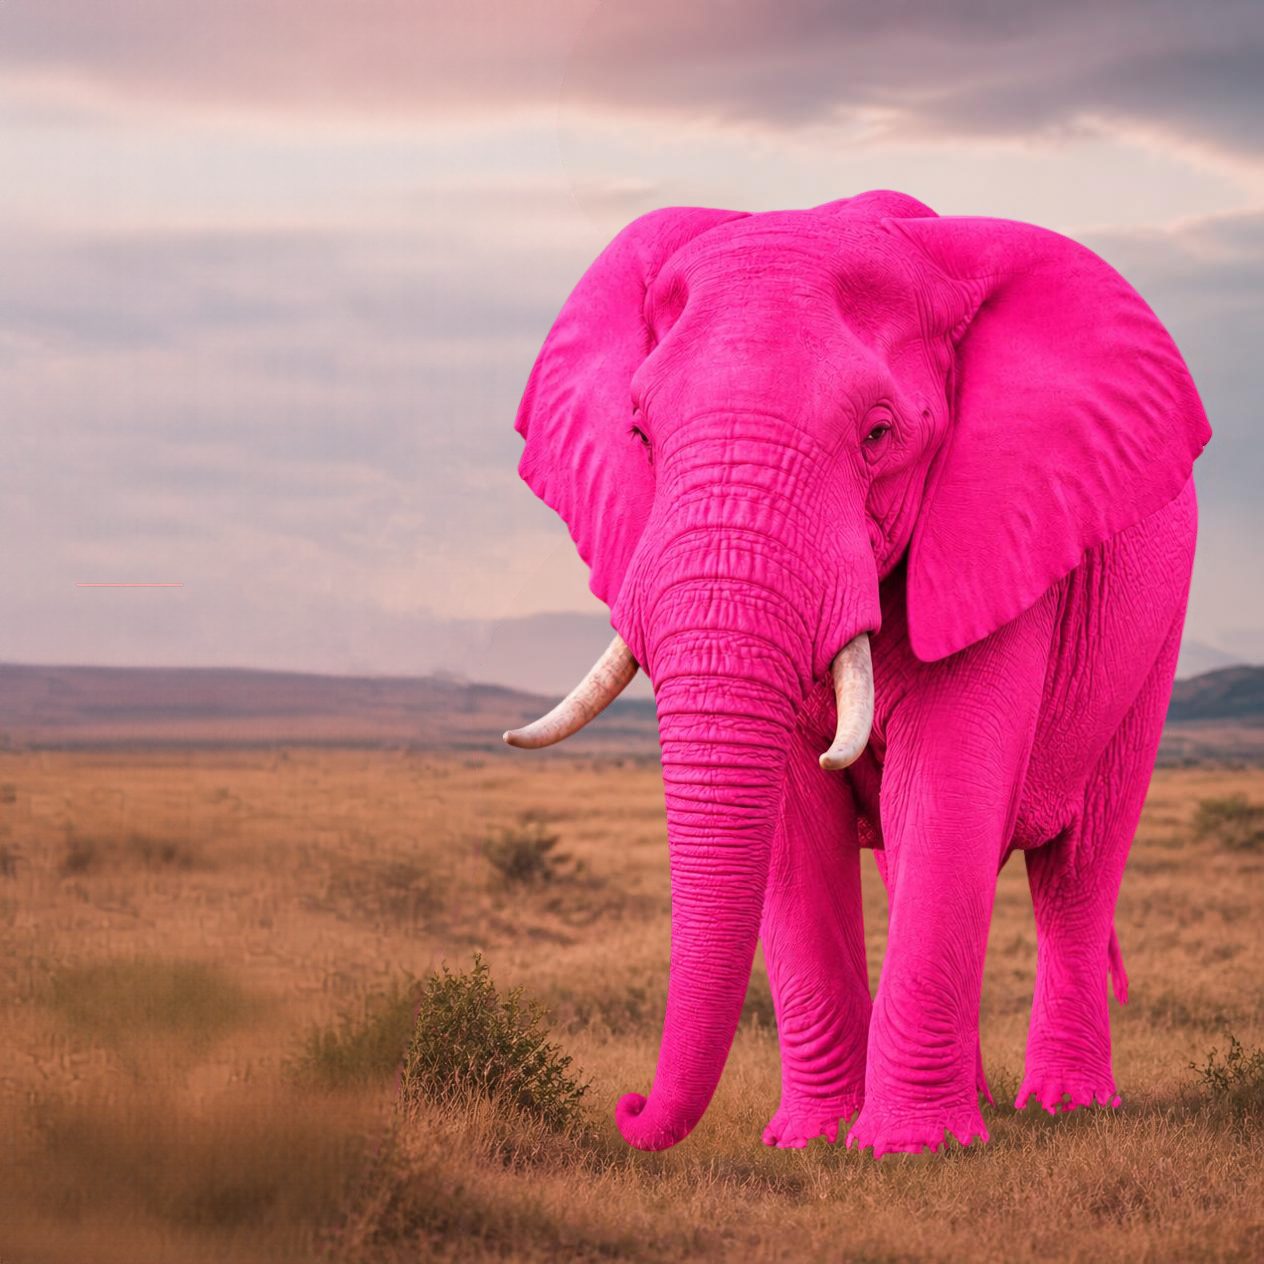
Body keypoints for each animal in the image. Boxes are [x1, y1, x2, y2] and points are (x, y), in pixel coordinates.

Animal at [501, 189, 1211, 1158]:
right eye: (640, 433)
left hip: (1153, 635)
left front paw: (910, 1152)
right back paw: (978, 1103)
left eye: (879, 435)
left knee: (1077, 870)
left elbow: (945, 781)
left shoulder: (997, 528)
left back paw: (1065, 1108)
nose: (628, 1108)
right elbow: (798, 824)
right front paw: (814, 1142)